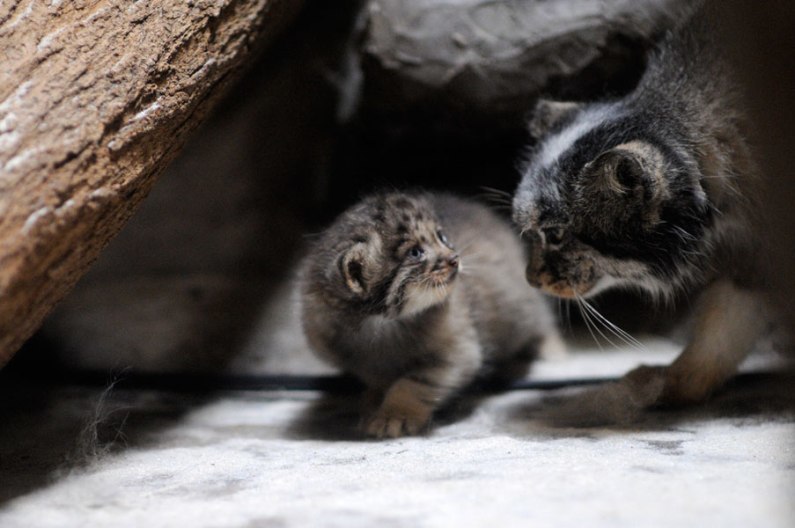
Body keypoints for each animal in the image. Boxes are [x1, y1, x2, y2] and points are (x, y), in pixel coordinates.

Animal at [300, 190, 560, 438]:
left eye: (442, 237)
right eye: (415, 253)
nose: (455, 259)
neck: (380, 325)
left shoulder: (458, 353)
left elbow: (413, 384)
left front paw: (394, 415)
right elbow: (379, 381)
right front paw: (373, 400)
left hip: (524, 308)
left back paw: (549, 349)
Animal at [512, 4, 768, 416]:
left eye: (555, 234)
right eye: (532, 233)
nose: (531, 279)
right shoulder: (751, 257)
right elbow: (726, 326)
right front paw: (674, 383)